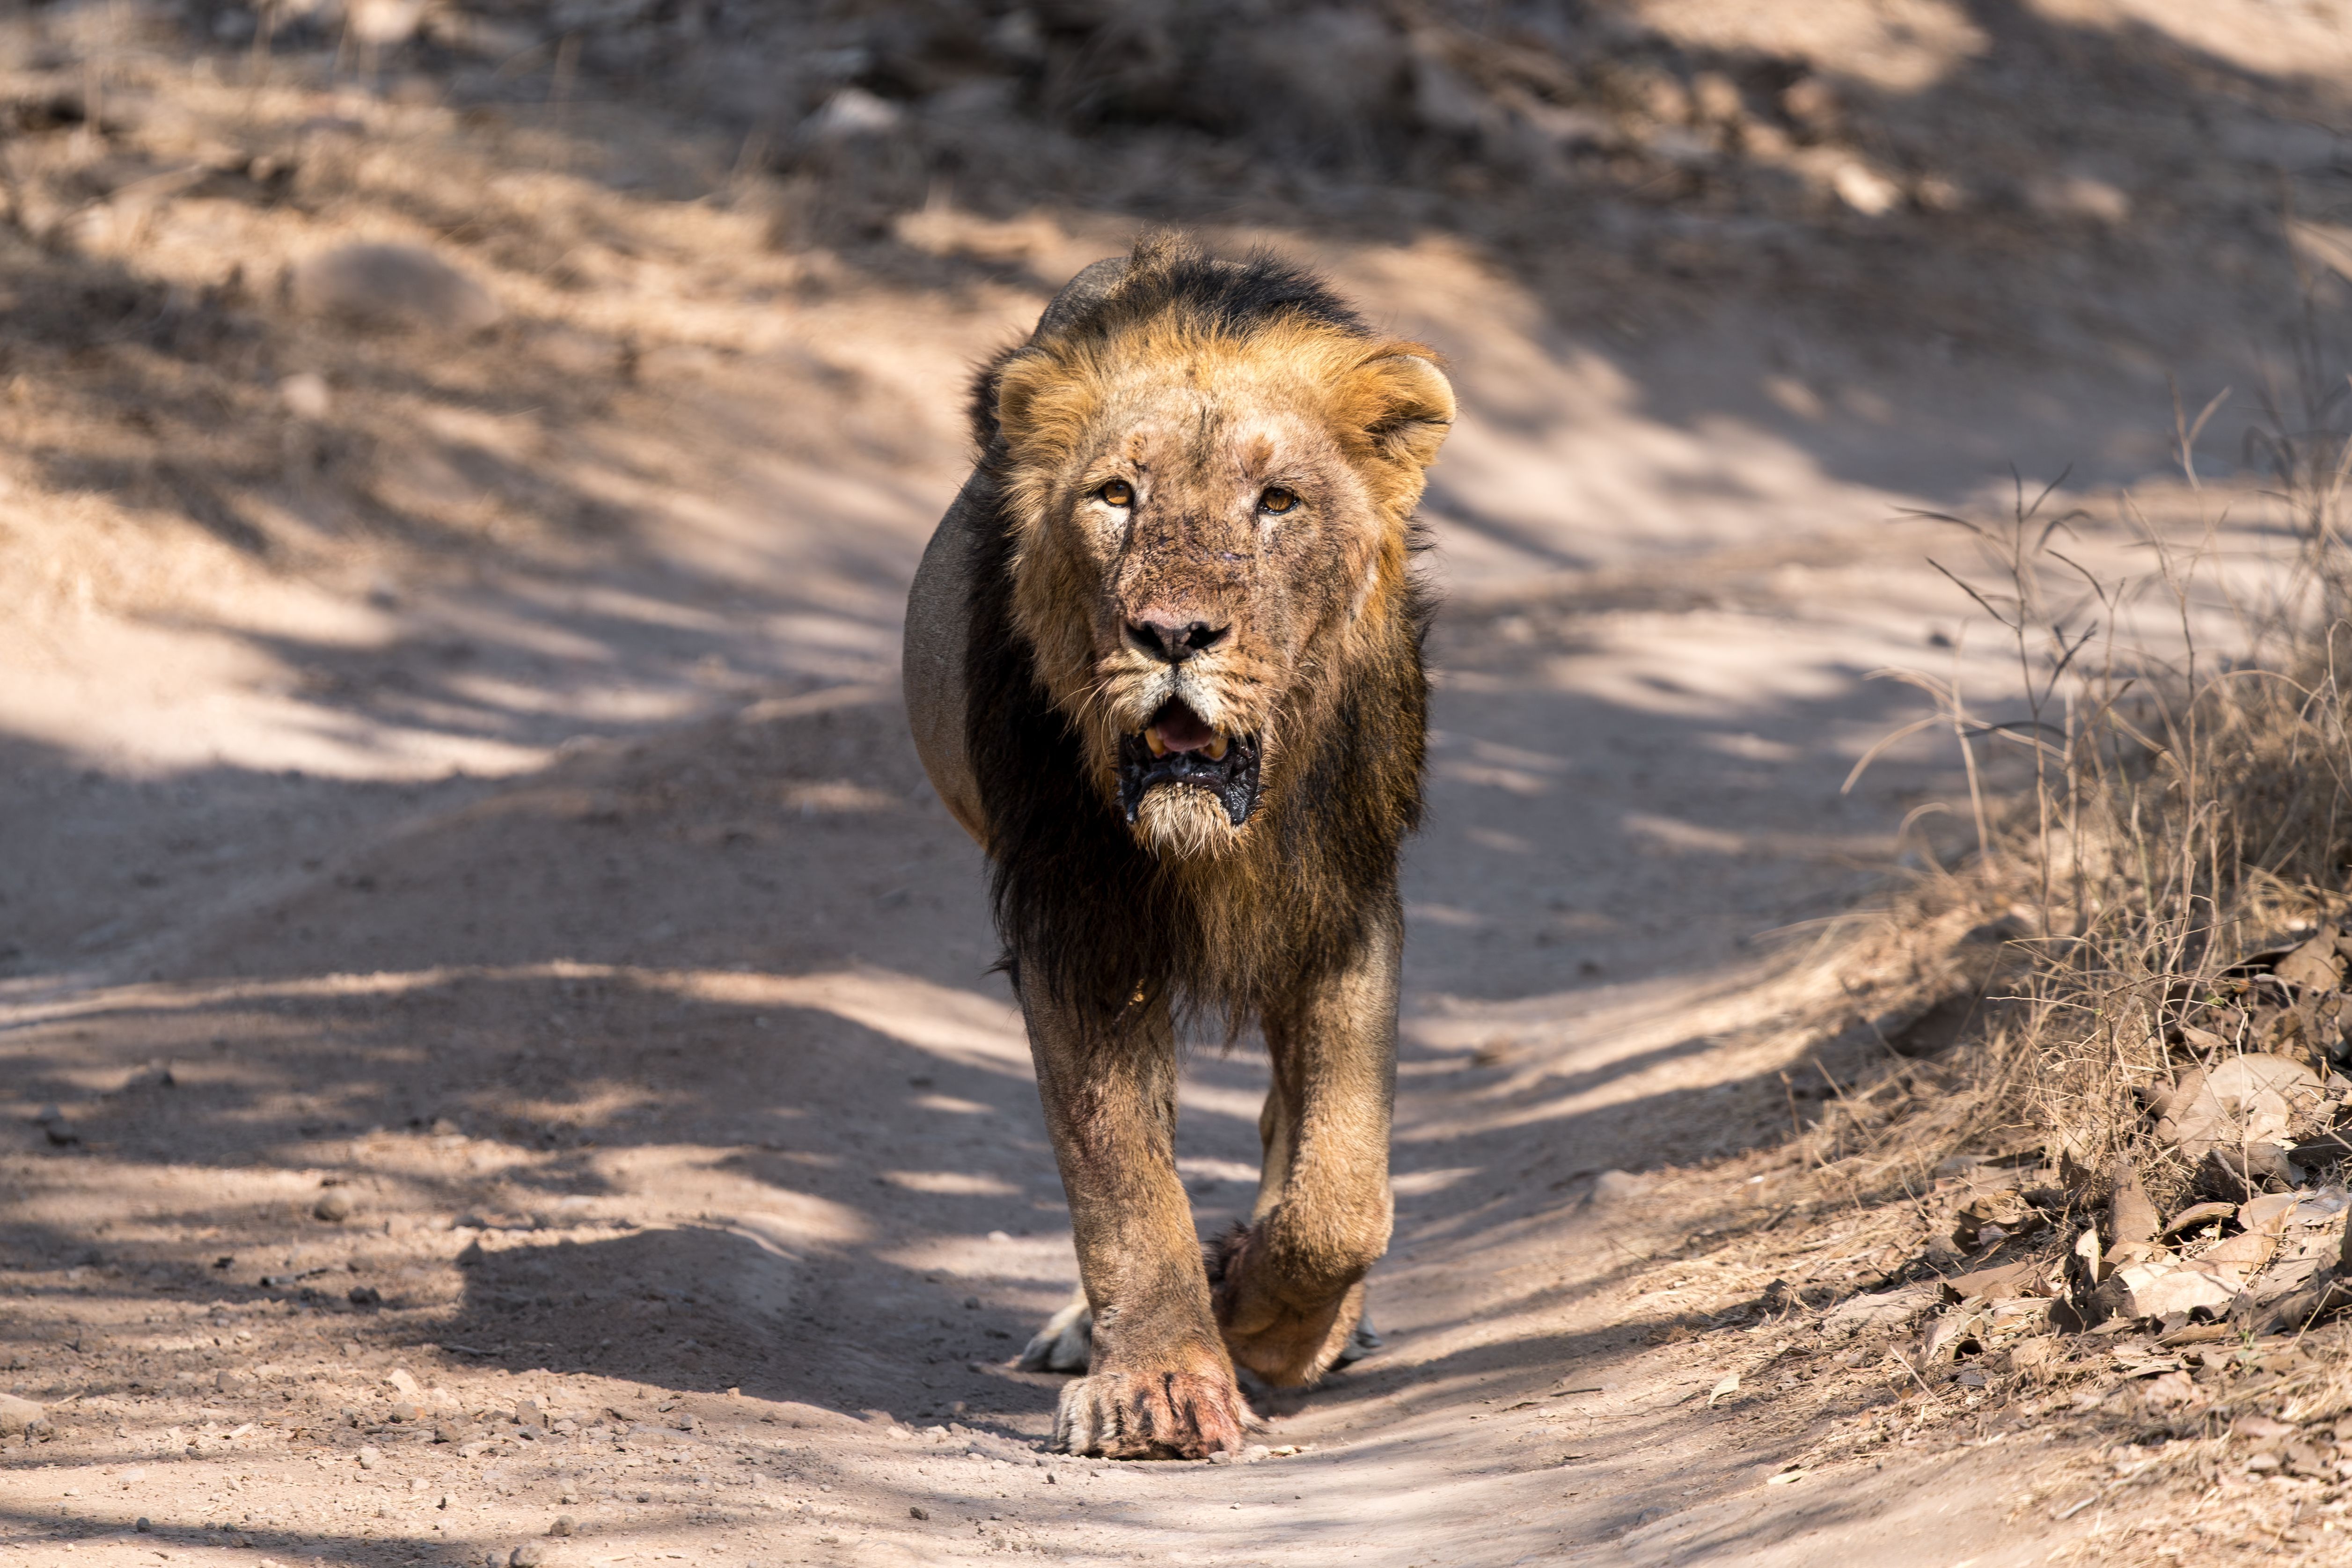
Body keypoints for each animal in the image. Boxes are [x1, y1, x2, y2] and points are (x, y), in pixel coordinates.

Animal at [902, 235, 1453, 1459]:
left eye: (1277, 501)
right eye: (1116, 496)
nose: (1171, 634)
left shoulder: (1345, 901)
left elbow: (1342, 1191)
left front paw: (1270, 1315)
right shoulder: (1075, 921)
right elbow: (1117, 1179)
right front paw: (1159, 1385)